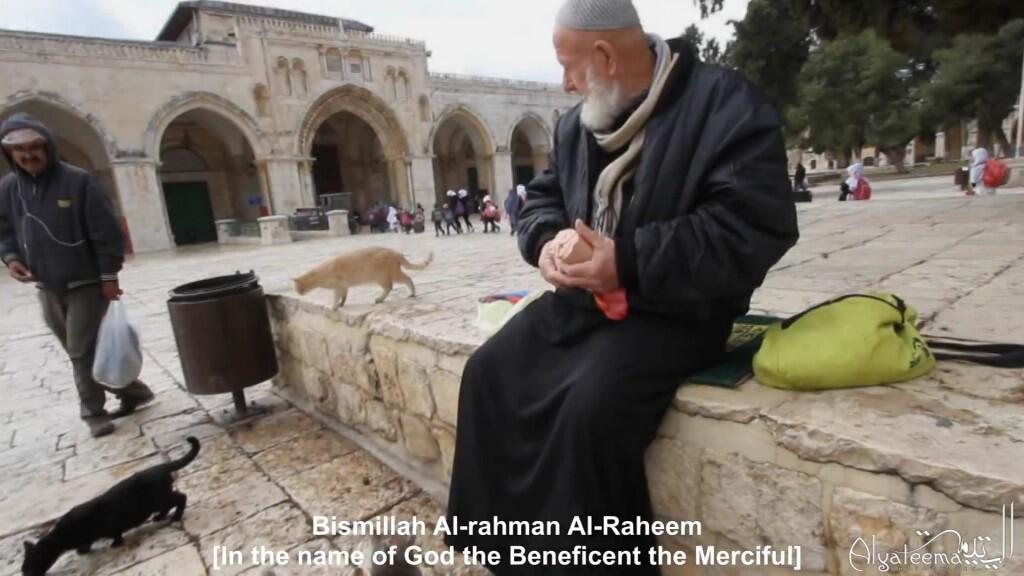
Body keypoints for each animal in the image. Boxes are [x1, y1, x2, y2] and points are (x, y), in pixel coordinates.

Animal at [21, 432, 199, 569]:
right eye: (23, 568)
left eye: (29, 567)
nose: (25, 574)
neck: (61, 535)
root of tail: (161, 467)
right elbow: (89, 541)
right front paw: (83, 549)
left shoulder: (110, 524)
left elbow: (115, 533)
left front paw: (115, 543)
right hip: (157, 501)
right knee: (169, 504)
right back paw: (160, 517)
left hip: (159, 498)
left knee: (181, 497)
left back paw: (175, 517)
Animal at [292, 247, 432, 309]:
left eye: (298, 288)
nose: (298, 294)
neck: (321, 274)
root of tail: (397, 253)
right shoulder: (344, 286)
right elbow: (344, 297)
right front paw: (341, 304)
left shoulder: (338, 286)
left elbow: (336, 298)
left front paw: (334, 307)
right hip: (388, 276)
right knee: (393, 286)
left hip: (386, 276)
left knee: (402, 282)